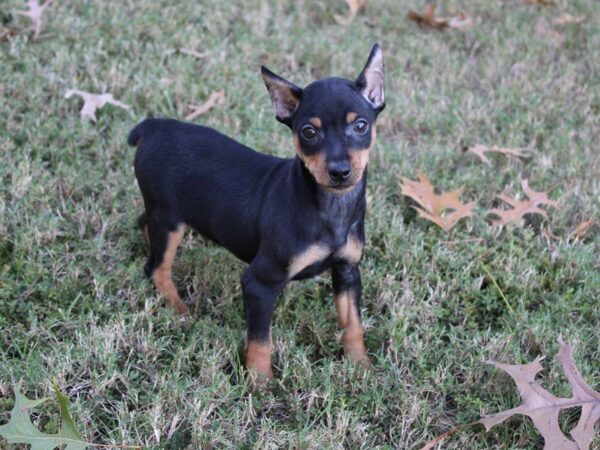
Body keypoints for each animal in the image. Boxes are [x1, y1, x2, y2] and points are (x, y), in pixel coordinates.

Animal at [129, 44, 386, 384]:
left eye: (360, 126)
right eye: (308, 132)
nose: (340, 172)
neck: (330, 205)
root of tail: (153, 126)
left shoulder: (347, 273)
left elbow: (353, 325)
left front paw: (362, 367)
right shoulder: (261, 283)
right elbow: (261, 340)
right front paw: (260, 384)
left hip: (162, 213)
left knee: (145, 226)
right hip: (170, 219)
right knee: (157, 269)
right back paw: (180, 310)